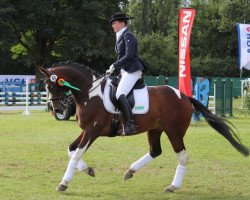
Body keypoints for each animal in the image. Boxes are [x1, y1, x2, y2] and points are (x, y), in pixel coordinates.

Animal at [39, 62, 248, 192]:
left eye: (52, 86)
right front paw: (88, 170)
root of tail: (183, 96)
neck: (90, 94)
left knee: (182, 156)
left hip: (174, 132)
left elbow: (75, 154)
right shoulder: (86, 130)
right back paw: (130, 171)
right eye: (47, 88)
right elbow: (71, 149)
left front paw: (64, 183)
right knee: (155, 151)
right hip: (155, 129)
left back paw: (173, 186)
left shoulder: (93, 130)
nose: (57, 110)